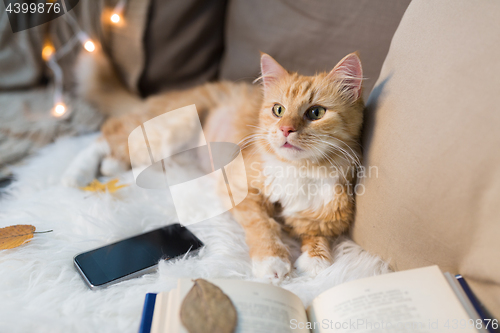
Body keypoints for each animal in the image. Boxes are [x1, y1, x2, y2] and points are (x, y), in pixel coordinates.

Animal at [64, 50, 366, 282]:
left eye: (316, 113)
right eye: (278, 110)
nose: (285, 130)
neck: (300, 170)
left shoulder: (327, 214)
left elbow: (315, 234)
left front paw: (316, 259)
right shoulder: (241, 191)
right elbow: (263, 227)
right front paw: (273, 262)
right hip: (171, 127)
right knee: (108, 136)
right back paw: (79, 174)